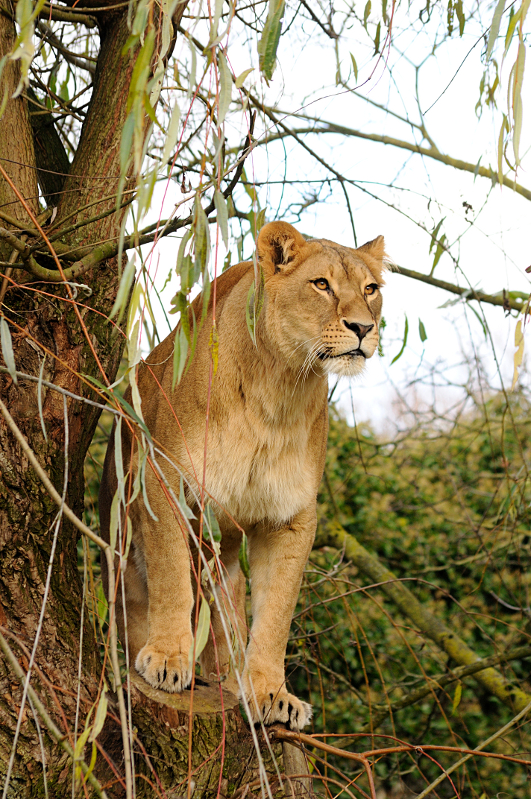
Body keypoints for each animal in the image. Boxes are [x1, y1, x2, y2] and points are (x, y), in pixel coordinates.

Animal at [99, 221, 386, 731]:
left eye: (370, 289)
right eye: (322, 284)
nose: (363, 328)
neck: (281, 384)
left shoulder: (292, 515)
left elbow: (276, 613)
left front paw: (271, 692)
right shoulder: (163, 477)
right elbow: (172, 575)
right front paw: (168, 658)